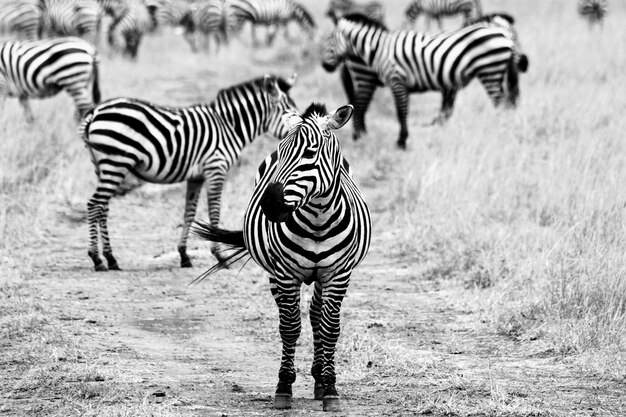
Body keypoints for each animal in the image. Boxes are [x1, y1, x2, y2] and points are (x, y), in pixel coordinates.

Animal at [80, 73, 298, 272]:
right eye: (290, 114)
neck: (228, 126)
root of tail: (95, 112)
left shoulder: (196, 177)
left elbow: (189, 214)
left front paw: (184, 255)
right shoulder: (215, 169)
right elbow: (214, 212)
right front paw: (220, 257)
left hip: (102, 165)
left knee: (103, 207)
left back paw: (110, 258)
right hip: (115, 162)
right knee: (94, 205)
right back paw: (97, 259)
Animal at [193, 102, 370, 412]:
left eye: (310, 153)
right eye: (282, 150)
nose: (270, 203)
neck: (318, 220)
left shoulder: (338, 275)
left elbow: (330, 329)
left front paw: (331, 388)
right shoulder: (286, 274)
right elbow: (289, 328)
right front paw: (284, 387)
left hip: (321, 277)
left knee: (316, 315)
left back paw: (319, 379)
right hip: (274, 273)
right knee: (289, 316)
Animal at [322, 13, 528, 149]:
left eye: (330, 40)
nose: (325, 66)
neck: (380, 48)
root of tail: (502, 33)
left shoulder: (397, 80)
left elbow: (401, 112)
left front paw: (402, 141)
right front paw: (405, 138)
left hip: (489, 70)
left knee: (501, 104)